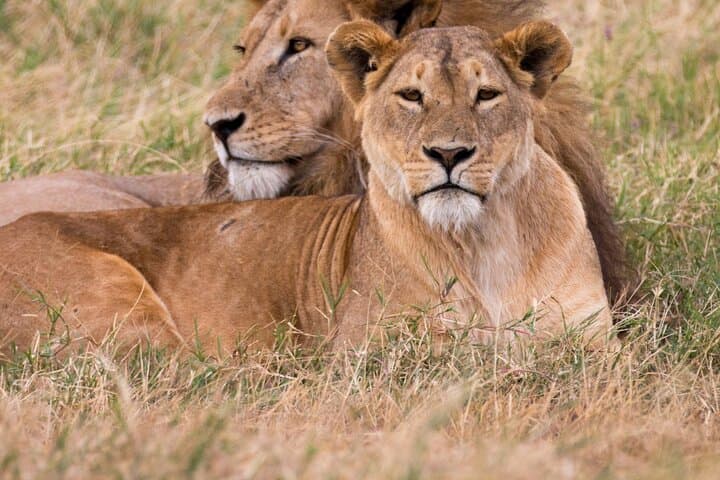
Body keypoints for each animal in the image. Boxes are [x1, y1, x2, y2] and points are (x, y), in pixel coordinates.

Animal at [0, 21, 614, 357]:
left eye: (486, 95)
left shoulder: (591, 341)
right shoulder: (374, 352)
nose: (447, 154)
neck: (485, 240)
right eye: (411, 97)